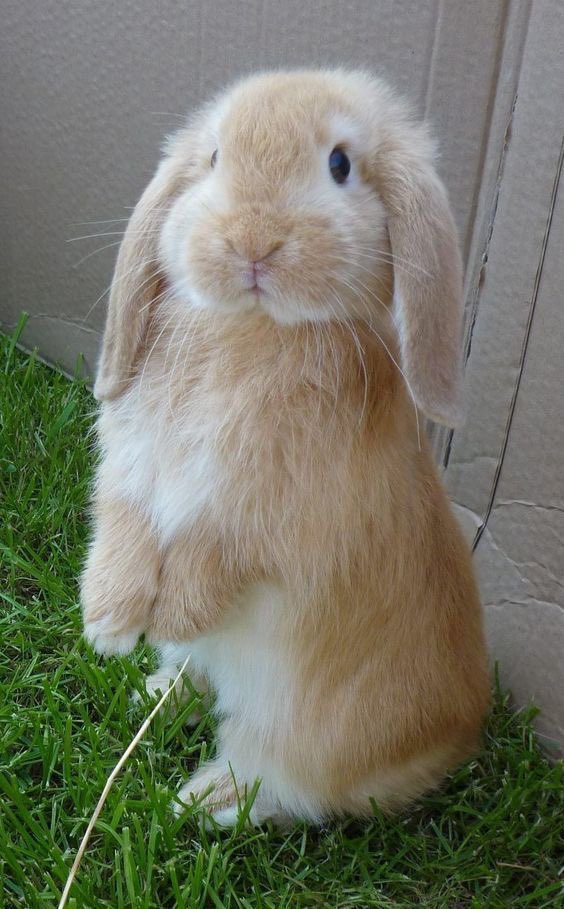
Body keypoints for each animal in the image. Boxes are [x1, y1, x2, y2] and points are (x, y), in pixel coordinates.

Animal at [81, 69, 490, 826]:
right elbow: (123, 528)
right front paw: (110, 625)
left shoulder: (269, 521)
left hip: (308, 728)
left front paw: (171, 611)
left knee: (279, 780)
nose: (253, 241)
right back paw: (156, 691)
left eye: (341, 165)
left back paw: (202, 800)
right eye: (214, 157)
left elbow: (217, 554)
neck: (252, 329)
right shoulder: (129, 470)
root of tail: (458, 737)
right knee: (203, 682)